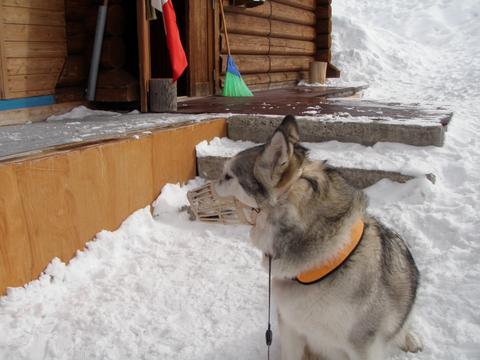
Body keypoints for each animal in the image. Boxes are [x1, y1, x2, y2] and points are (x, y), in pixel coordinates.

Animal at [216, 116, 422, 360]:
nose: (213, 182)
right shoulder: (290, 327)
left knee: (404, 324)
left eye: (228, 176)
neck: (319, 265)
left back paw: (410, 339)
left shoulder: (363, 346)